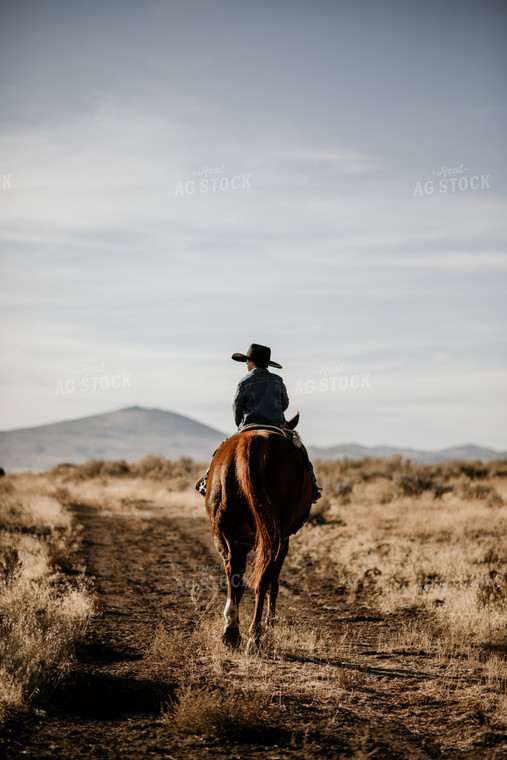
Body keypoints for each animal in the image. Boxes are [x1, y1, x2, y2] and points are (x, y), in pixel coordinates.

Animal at [204, 416, 312, 648]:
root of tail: (254, 440)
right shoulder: (284, 540)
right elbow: (273, 583)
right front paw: (271, 622)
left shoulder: (241, 542)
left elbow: (240, 581)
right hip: (273, 538)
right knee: (263, 579)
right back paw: (255, 634)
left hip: (223, 532)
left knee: (233, 572)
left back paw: (232, 631)